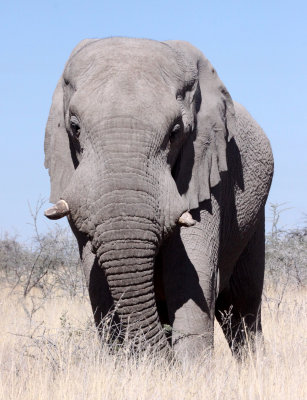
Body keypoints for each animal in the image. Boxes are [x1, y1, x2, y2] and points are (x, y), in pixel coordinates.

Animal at [44, 38, 274, 360]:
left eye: (175, 132)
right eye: (74, 128)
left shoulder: (207, 173)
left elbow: (190, 277)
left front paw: (191, 370)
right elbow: (98, 283)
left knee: (243, 305)